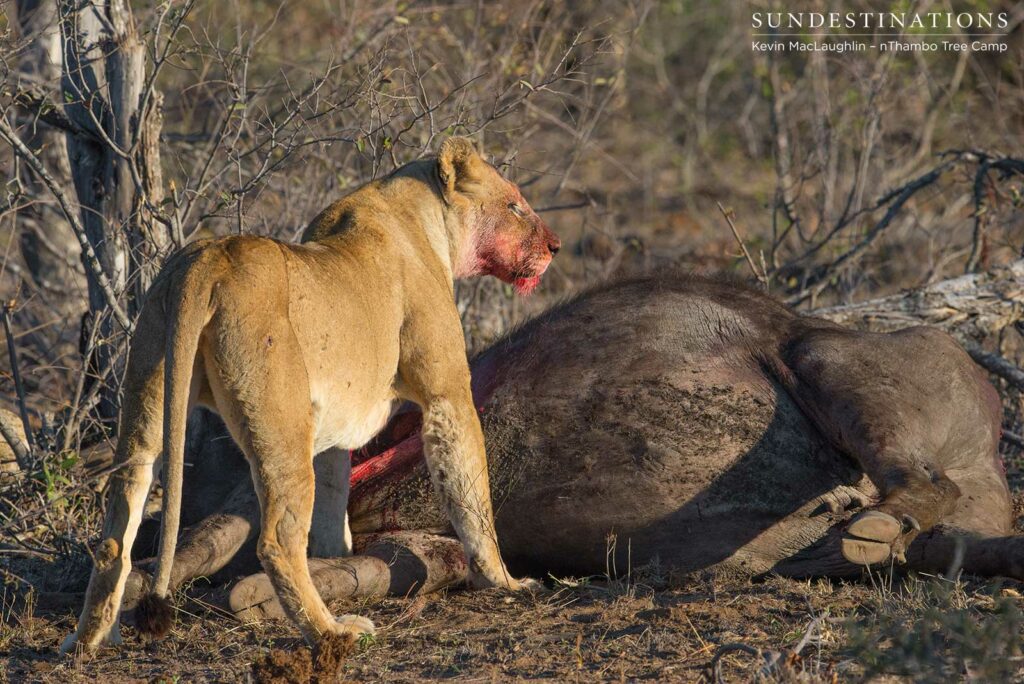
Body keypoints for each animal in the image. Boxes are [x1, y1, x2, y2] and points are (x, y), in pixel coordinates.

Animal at [60, 137, 560, 654]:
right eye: (514, 205)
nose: (555, 246)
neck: (423, 215)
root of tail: (208, 258)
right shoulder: (447, 395)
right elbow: (470, 494)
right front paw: (504, 580)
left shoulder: (337, 421)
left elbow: (334, 503)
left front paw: (339, 560)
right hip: (281, 420)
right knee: (277, 541)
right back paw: (333, 631)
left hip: (149, 393)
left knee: (117, 526)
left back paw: (91, 639)